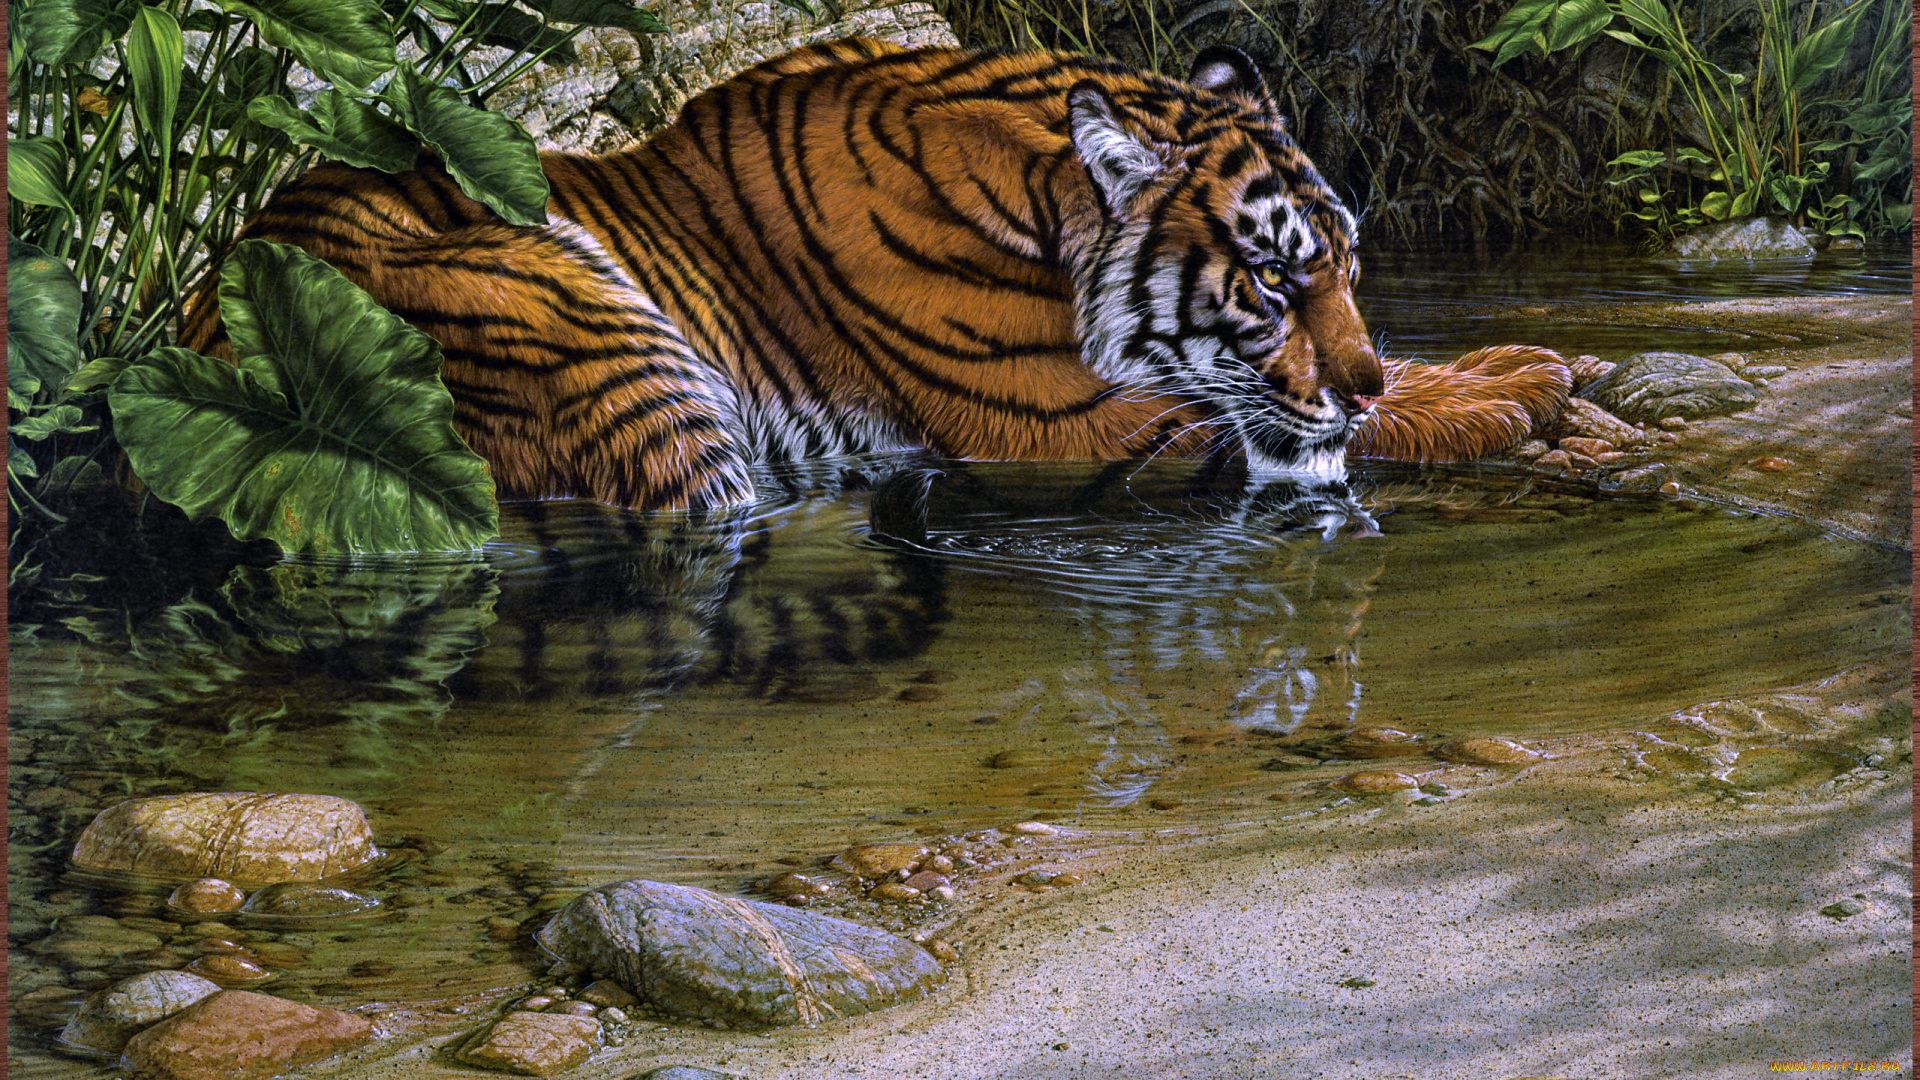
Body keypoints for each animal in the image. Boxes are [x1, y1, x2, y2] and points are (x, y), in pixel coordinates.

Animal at [179, 37, 1570, 512]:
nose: (1362, 376)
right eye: (1276, 286)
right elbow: (1312, 429)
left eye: (1350, 272)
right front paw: (1514, 386)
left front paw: (1519, 359)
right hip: (595, 338)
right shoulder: (1075, 426)